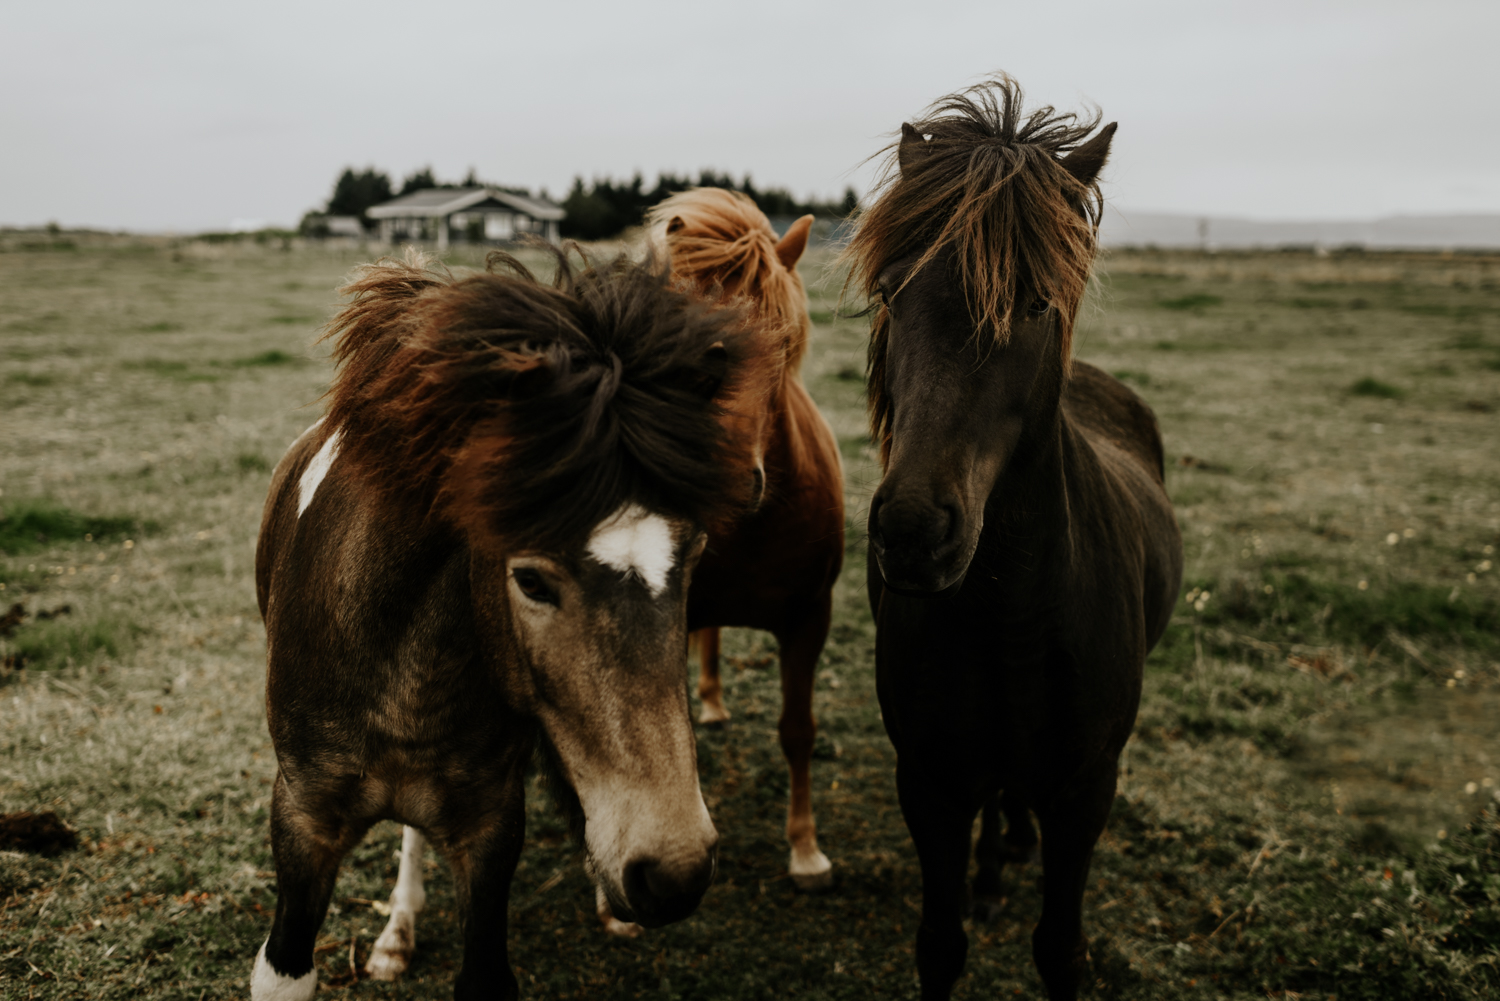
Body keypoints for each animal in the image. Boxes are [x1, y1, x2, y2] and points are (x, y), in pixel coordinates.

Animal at [846, 78, 1182, 1001]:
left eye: (1035, 302)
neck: (1014, 619)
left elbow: (1061, 949)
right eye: (892, 292)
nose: (912, 531)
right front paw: (981, 884)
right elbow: (939, 943)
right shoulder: (928, 780)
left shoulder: (1086, 789)